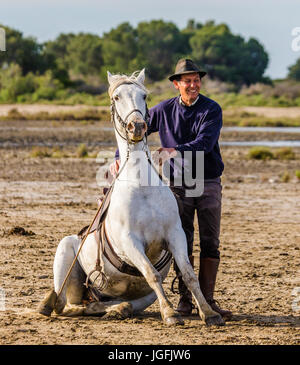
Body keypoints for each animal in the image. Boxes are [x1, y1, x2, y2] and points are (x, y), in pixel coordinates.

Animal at [38, 69, 225, 326]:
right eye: (116, 97)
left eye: (144, 96)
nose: (136, 126)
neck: (141, 185)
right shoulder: (130, 241)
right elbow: (151, 274)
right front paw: (170, 314)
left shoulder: (175, 234)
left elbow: (188, 274)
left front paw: (209, 312)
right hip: (65, 255)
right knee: (66, 305)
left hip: (138, 297)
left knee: (108, 304)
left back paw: (117, 308)